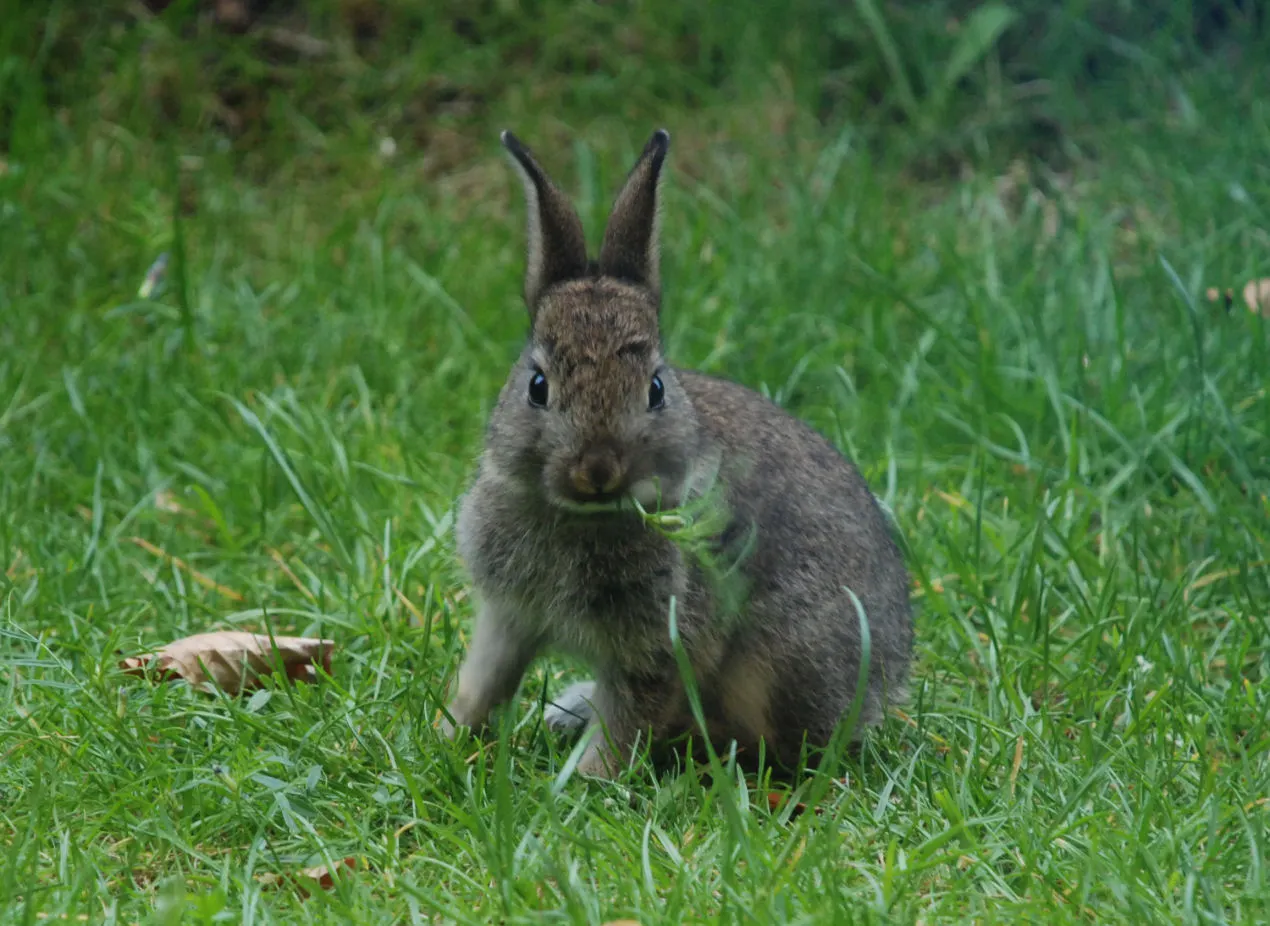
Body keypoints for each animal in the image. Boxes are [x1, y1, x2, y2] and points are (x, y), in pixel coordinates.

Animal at [440, 128, 913, 779]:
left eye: (655, 389)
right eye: (537, 387)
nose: (598, 469)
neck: (583, 516)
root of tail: (888, 679)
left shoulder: (660, 642)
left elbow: (628, 718)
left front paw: (586, 782)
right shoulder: (508, 616)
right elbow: (485, 680)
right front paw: (448, 733)